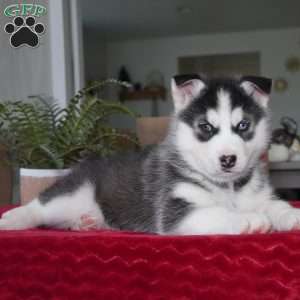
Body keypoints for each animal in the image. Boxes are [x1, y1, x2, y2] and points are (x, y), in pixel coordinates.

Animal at [0, 75, 300, 234]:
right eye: (205, 127)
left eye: (243, 126)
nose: (228, 159)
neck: (227, 188)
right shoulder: (175, 212)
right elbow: (217, 212)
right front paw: (247, 219)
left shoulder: (259, 196)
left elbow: (276, 205)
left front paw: (291, 216)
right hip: (72, 194)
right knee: (40, 207)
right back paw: (13, 219)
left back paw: (88, 223)